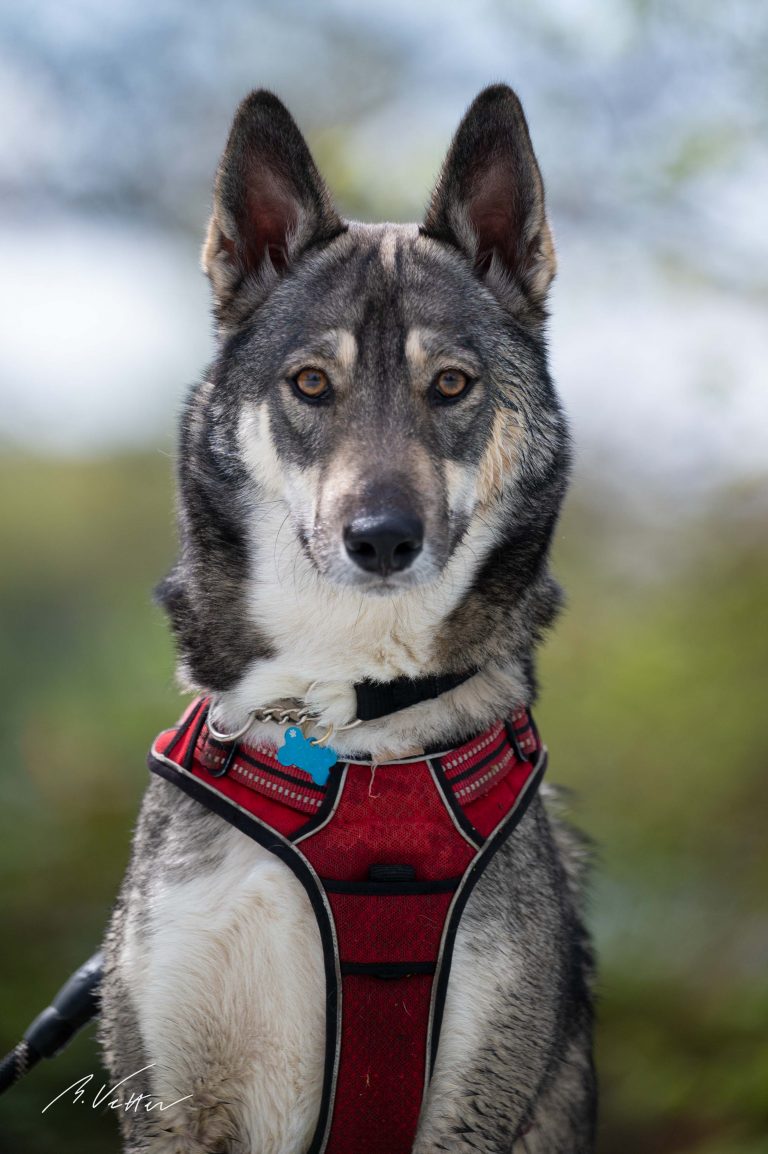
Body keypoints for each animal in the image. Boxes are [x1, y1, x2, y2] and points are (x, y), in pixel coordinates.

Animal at [98, 83, 595, 1154]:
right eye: (310, 384)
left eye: (450, 384)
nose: (382, 539)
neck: (349, 720)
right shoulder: (168, 1097)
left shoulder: (472, 1098)